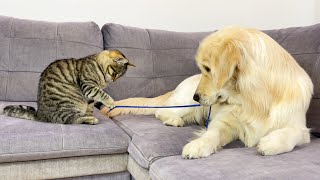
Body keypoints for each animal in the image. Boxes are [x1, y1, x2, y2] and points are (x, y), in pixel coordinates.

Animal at [2, 50, 134, 124]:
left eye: (118, 76)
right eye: (115, 73)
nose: (113, 80)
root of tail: (40, 114)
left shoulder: (89, 97)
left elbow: (90, 107)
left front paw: (90, 113)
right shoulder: (89, 86)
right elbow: (102, 94)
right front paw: (111, 103)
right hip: (69, 103)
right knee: (70, 120)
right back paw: (91, 120)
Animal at [102, 27, 312, 159]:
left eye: (208, 69)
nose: (196, 96)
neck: (254, 100)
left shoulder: (301, 128)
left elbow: (294, 133)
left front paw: (270, 143)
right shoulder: (225, 121)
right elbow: (212, 133)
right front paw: (198, 145)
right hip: (184, 103)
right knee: (161, 111)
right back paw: (173, 120)